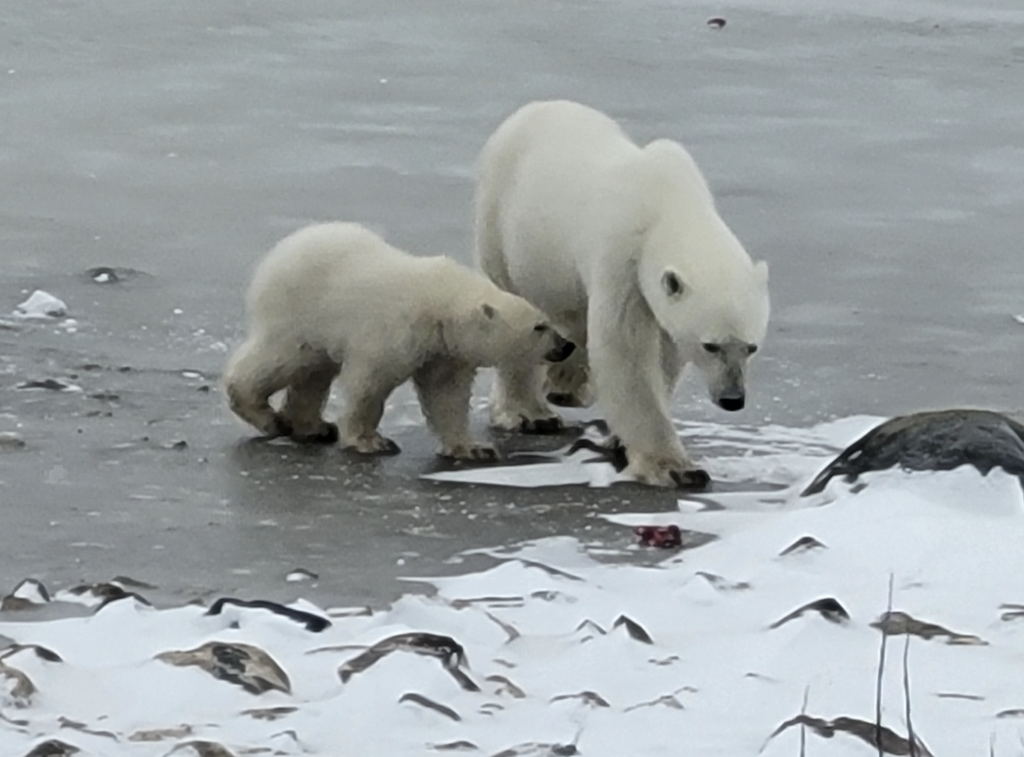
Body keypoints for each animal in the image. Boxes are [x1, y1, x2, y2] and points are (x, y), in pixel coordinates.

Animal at [224, 222, 575, 460]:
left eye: (546, 321)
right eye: (539, 327)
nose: (566, 345)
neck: (440, 303)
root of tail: (281, 249)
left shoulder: (444, 350)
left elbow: (446, 395)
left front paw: (473, 448)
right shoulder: (396, 332)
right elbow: (369, 386)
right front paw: (370, 442)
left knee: (314, 373)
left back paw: (314, 427)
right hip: (300, 312)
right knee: (283, 359)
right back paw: (269, 418)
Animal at [474, 100, 770, 487]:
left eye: (751, 347)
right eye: (711, 346)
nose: (733, 399)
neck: (669, 204)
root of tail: (533, 108)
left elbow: (664, 355)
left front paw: (619, 438)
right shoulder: (622, 256)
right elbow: (625, 350)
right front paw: (676, 468)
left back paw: (568, 383)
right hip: (501, 227)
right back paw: (528, 412)